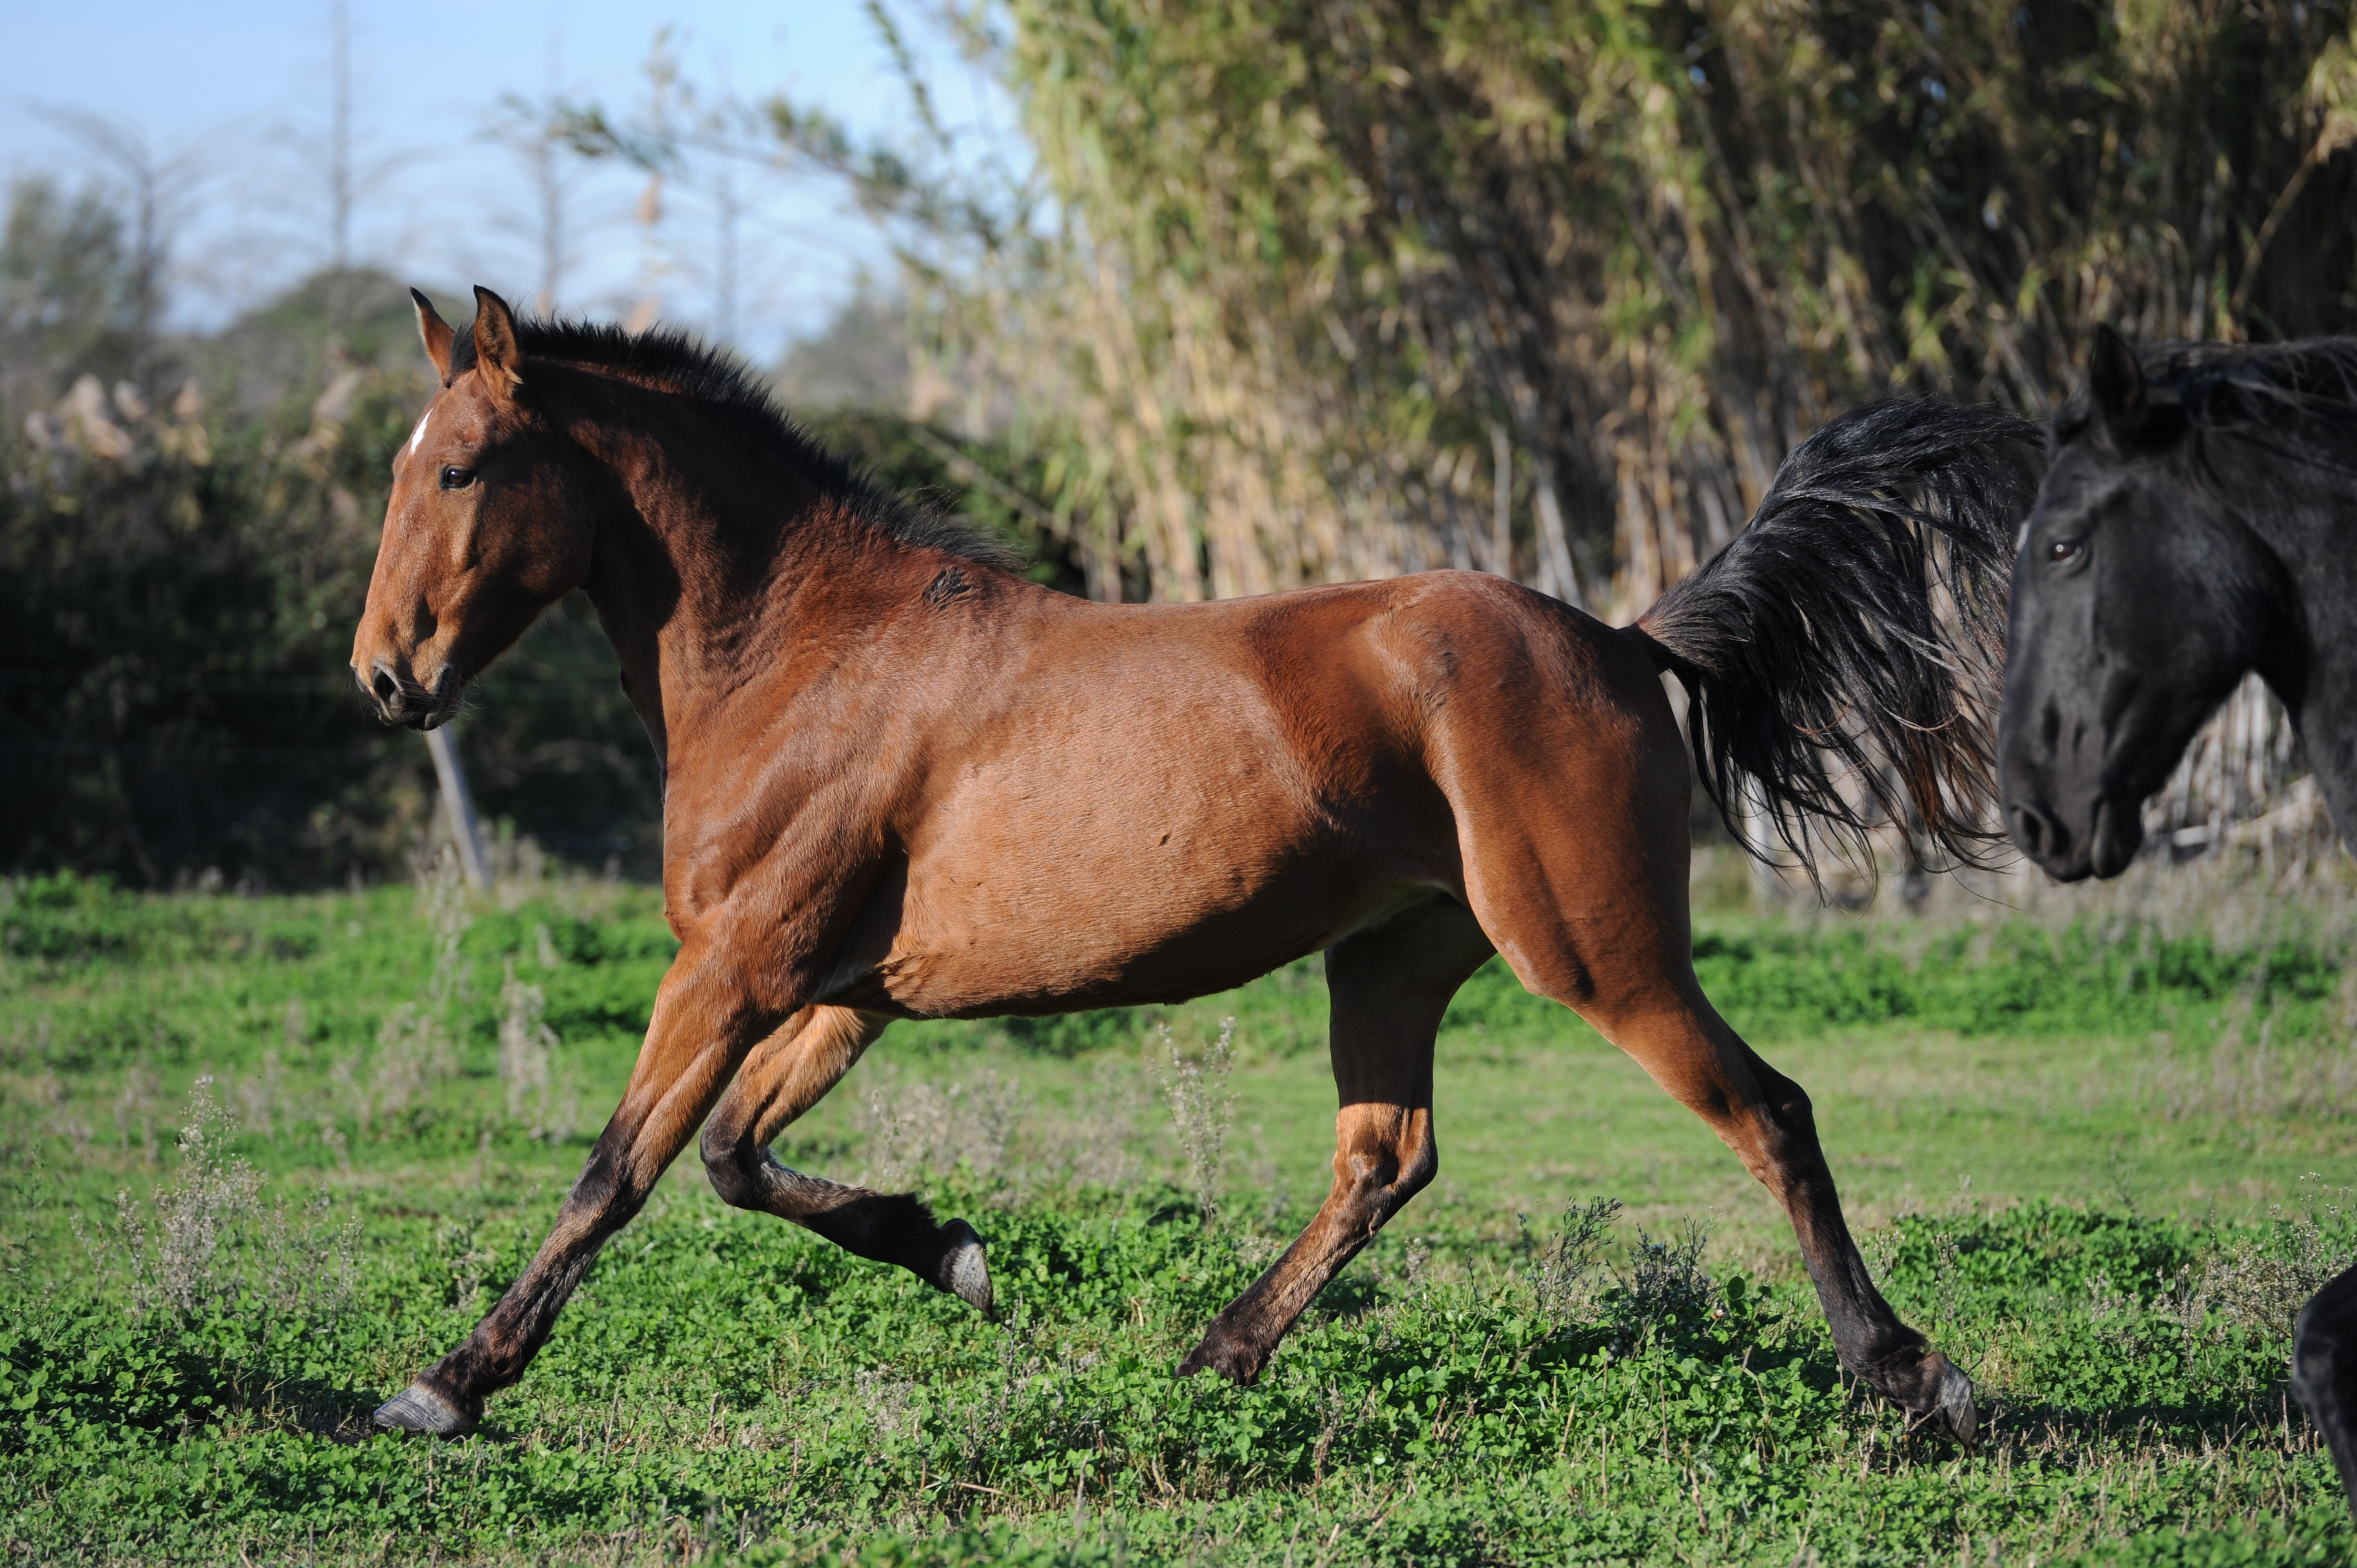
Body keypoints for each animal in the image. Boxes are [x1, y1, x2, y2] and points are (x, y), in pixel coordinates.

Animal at [358, 287, 2036, 1433]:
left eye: (462, 469)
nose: (386, 676)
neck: (808, 652)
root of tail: (1625, 640)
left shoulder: (732, 967)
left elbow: (619, 1169)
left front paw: (447, 1384)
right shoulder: (839, 992)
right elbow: (729, 1158)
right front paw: (956, 1252)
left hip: (1597, 953)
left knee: (1768, 1111)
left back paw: (1911, 1379)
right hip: (1396, 953)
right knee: (1385, 1158)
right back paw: (1217, 1353)